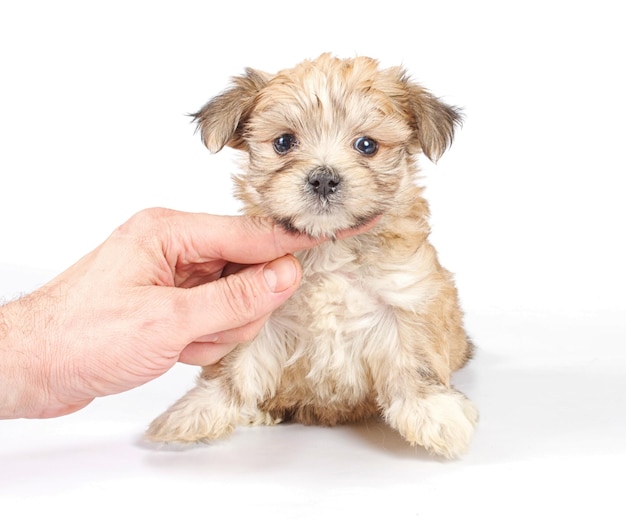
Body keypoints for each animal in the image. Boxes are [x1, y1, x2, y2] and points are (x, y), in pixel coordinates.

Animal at [147, 54, 478, 458]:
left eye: (367, 145)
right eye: (284, 142)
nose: (323, 178)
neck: (328, 246)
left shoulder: (407, 298)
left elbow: (417, 360)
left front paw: (435, 413)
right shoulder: (261, 315)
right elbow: (233, 366)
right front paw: (199, 409)